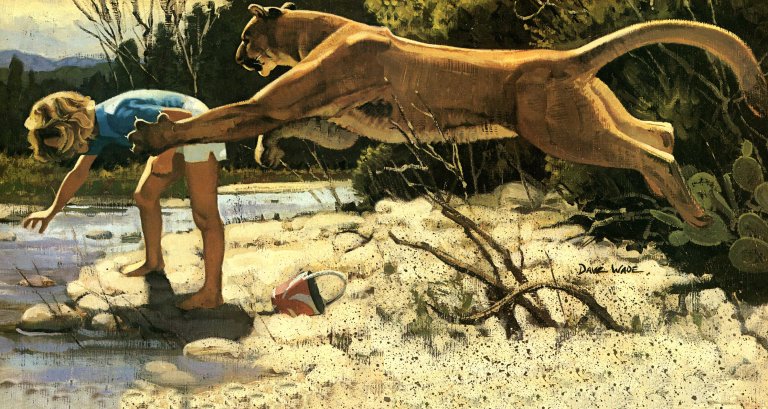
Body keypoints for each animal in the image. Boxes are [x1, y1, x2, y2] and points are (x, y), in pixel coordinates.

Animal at [128, 2, 768, 227]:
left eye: (243, 35)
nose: (239, 55)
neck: (316, 30)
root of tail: (568, 57)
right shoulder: (334, 119)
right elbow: (285, 123)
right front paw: (269, 150)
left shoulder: (285, 97)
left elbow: (231, 114)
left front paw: (154, 131)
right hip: (596, 117)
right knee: (661, 130)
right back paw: (682, 205)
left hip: (566, 133)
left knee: (653, 152)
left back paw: (694, 215)